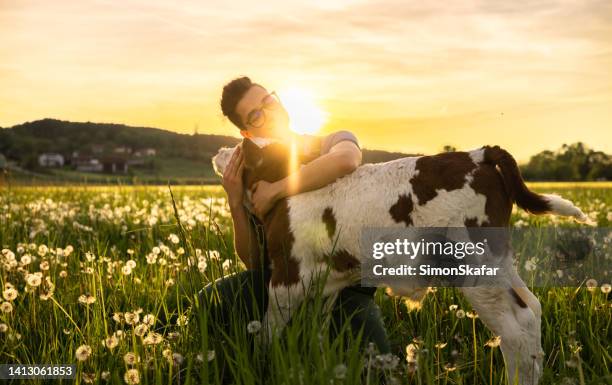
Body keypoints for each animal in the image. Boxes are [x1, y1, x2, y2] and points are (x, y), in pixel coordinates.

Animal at [213, 138, 584, 384]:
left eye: (240, 146)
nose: (219, 152)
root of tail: (476, 154)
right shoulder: (324, 283)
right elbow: (315, 331)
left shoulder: (286, 277)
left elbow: (268, 330)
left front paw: (262, 364)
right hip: (500, 262)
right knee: (532, 309)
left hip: (476, 268)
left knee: (516, 329)